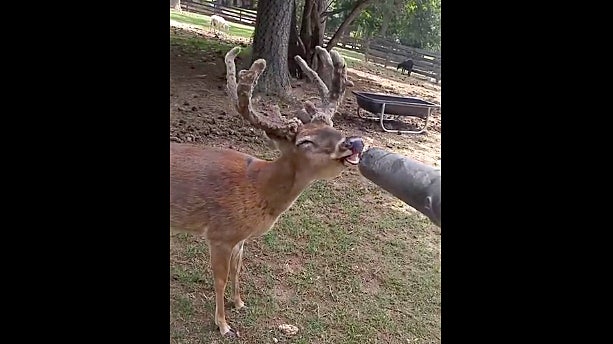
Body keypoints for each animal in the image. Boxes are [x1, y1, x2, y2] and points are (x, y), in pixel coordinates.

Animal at [169, 44, 364, 338]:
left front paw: (239, 302)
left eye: (332, 126)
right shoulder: (219, 233)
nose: (353, 142)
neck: (258, 186)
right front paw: (223, 325)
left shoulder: (239, 237)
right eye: (304, 141)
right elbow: (220, 278)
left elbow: (238, 269)